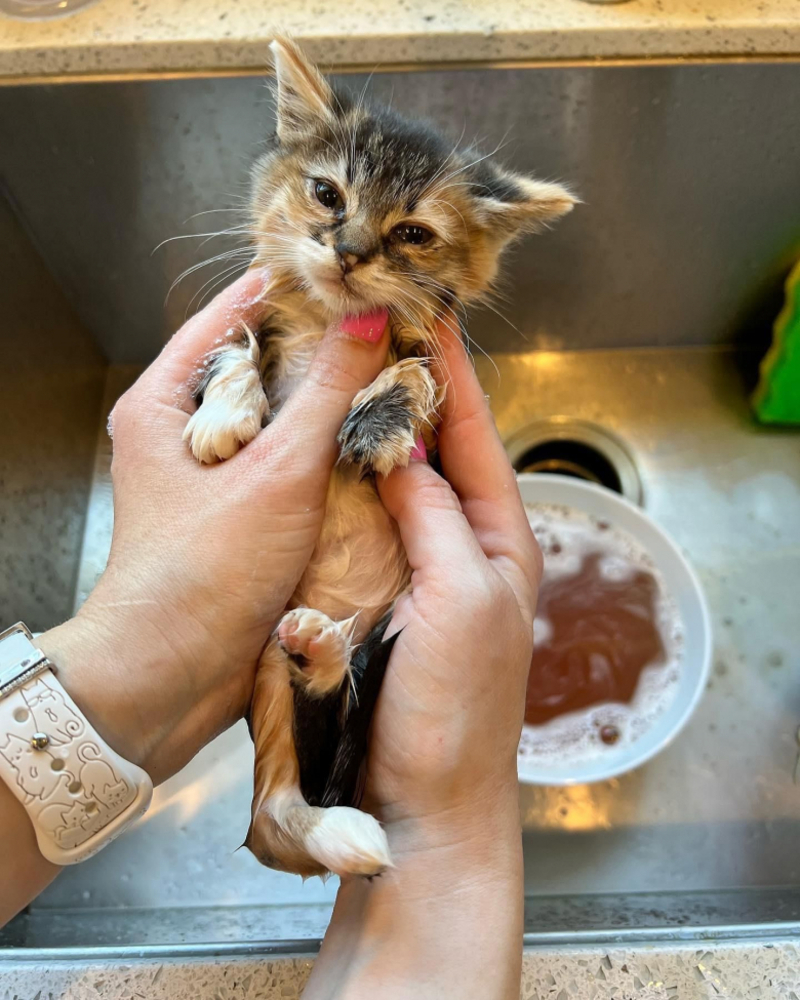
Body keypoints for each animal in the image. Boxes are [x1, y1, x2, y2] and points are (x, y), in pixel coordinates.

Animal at [182, 37, 576, 876]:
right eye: (327, 194)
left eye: (413, 234)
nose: (350, 252)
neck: (324, 326)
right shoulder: (254, 320)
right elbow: (236, 343)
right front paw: (225, 412)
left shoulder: (436, 367)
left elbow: (420, 376)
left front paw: (377, 413)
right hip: (264, 679)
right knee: (276, 808)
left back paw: (326, 669)